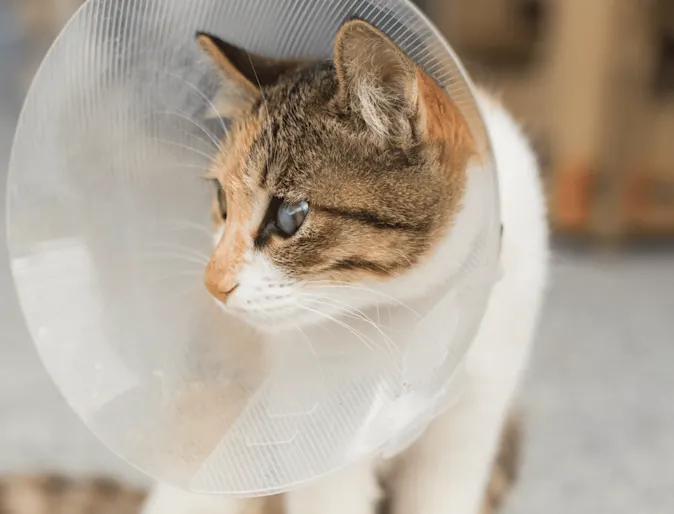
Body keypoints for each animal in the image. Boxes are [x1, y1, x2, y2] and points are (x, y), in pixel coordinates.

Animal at [142, 18, 544, 512]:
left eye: (290, 215)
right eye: (222, 200)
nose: (213, 283)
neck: (416, 318)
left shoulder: (471, 421)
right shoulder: (320, 443)